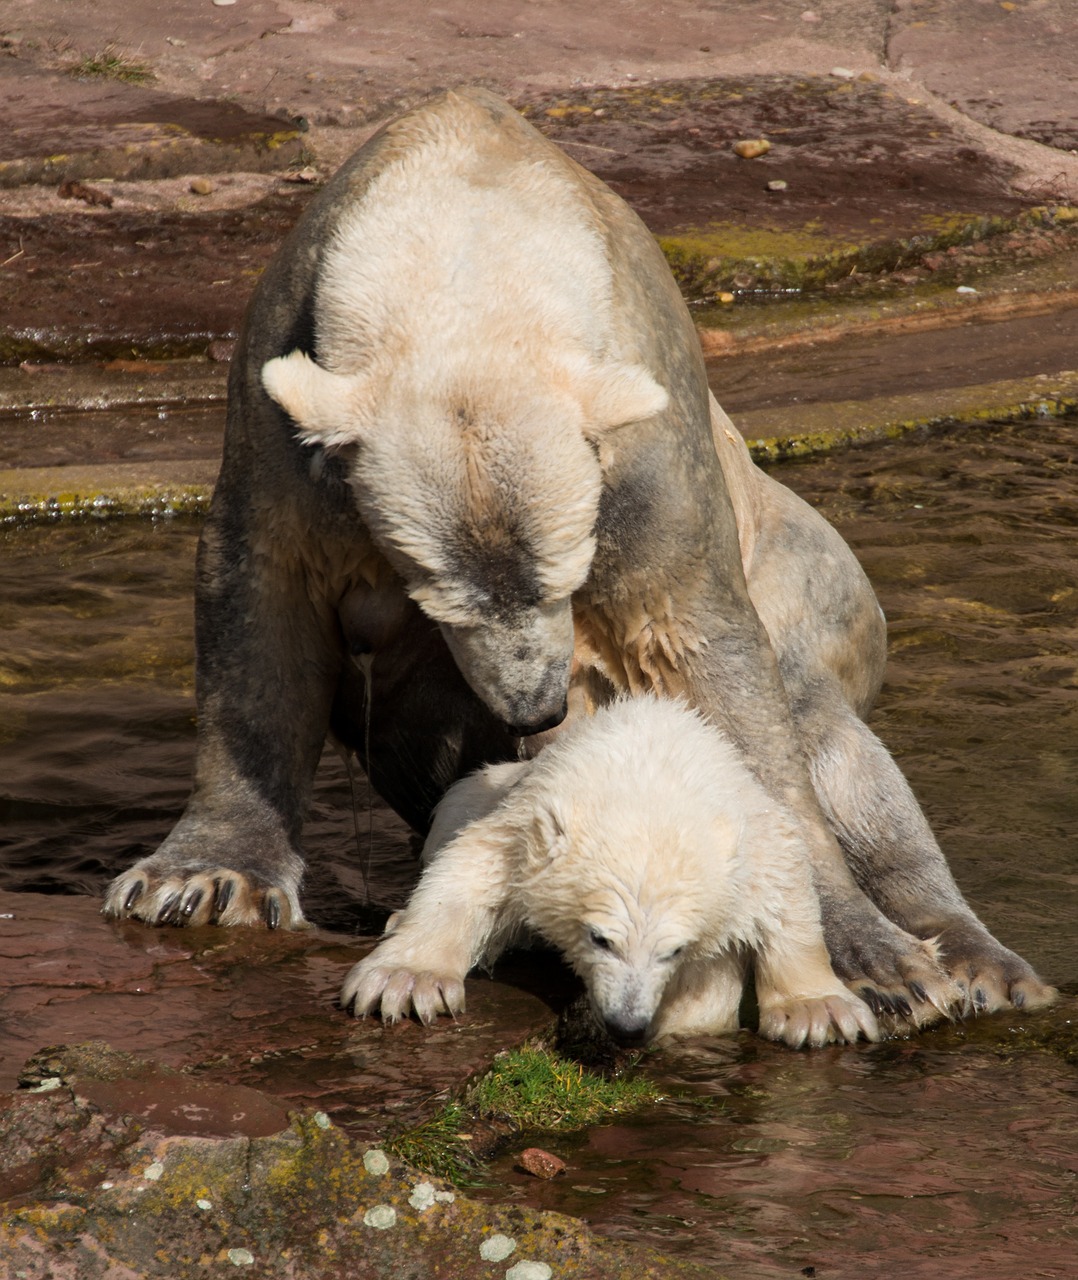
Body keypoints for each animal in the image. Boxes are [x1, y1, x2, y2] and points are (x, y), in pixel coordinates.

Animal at [106, 85, 1049, 1024]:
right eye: (437, 599)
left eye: (569, 575)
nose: (535, 709)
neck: (469, 207)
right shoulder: (277, 412)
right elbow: (261, 601)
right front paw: (204, 878)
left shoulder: (652, 451)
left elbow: (713, 660)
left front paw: (875, 963)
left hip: (821, 593)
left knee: (838, 749)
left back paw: (980, 960)